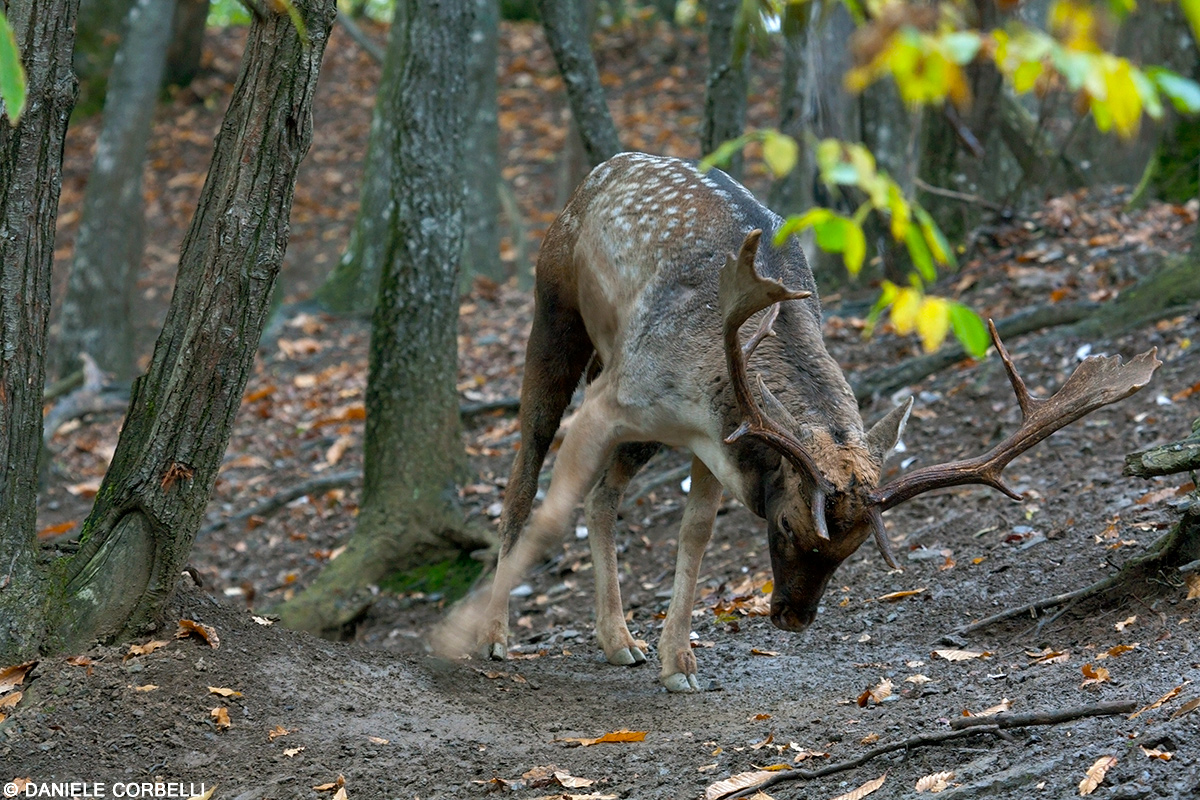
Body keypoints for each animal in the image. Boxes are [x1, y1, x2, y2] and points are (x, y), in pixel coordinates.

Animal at [448, 153, 1152, 690]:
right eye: (789, 526)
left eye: (855, 548)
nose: (792, 617)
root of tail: (599, 169)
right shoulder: (615, 397)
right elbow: (552, 509)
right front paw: (477, 634)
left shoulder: (714, 440)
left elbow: (694, 535)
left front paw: (680, 664)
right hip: (555, 316)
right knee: (523, 471)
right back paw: (495, 635)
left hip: (636, 423)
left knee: (603, 495)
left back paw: (619, 639)